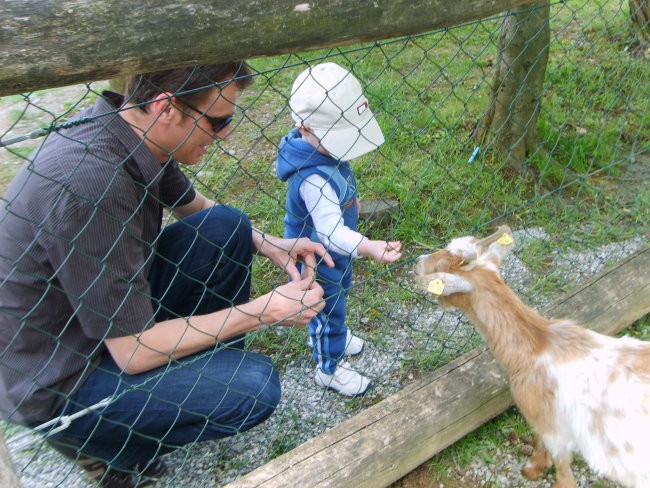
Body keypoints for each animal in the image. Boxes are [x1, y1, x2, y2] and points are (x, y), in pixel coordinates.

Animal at [412, 228, 648, 488]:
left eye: (442, 265)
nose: (416, 262)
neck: (536, 346)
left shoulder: (552, 427)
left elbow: (564, 474)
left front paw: (535, 469)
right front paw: (536, 466)